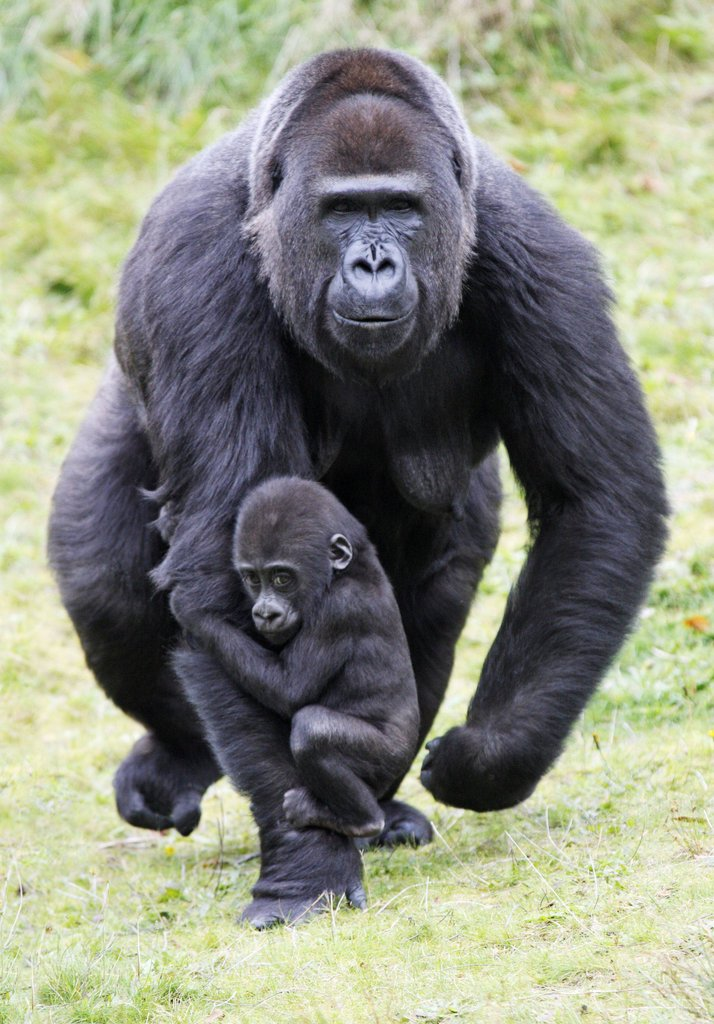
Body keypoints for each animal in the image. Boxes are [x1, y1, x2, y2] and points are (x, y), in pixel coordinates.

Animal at [231, 479, 420, 839]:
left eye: (282, 578)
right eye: (253, 579)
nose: (265, 613)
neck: (351, 570)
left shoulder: (338, 609)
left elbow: (290, 691)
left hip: (387, 761)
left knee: (313, 731)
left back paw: (361, 820)